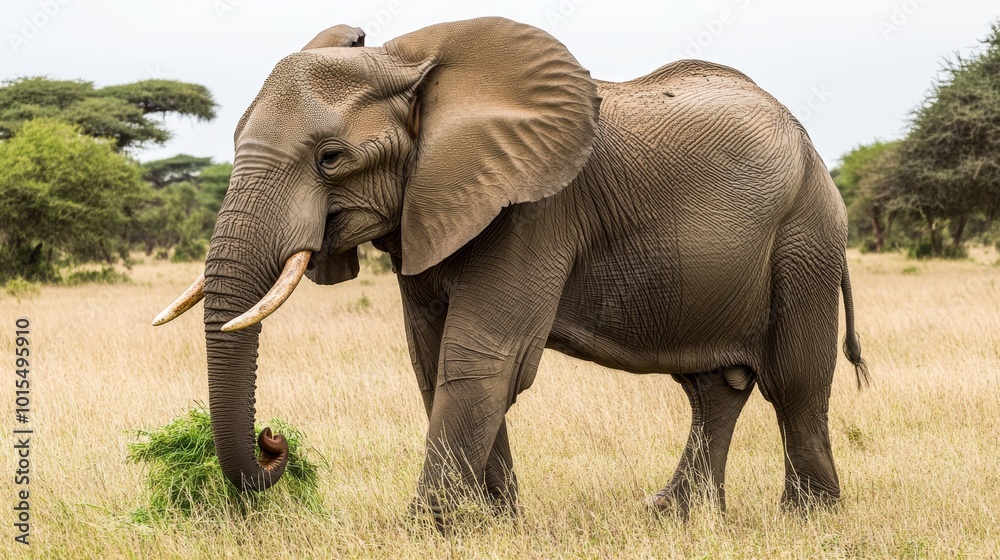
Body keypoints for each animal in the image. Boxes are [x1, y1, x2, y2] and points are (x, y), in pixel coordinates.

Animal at [153, 17, 867, 520]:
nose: (275, 442)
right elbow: (432, 358)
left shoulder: (536, 210)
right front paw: (491, 522)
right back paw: (676, 515)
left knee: (796, 382)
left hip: (805, 237)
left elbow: (482, 358)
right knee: (713, 386)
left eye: (330, 158)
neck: (410, 62)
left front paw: (428, 528)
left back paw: (807, 518)